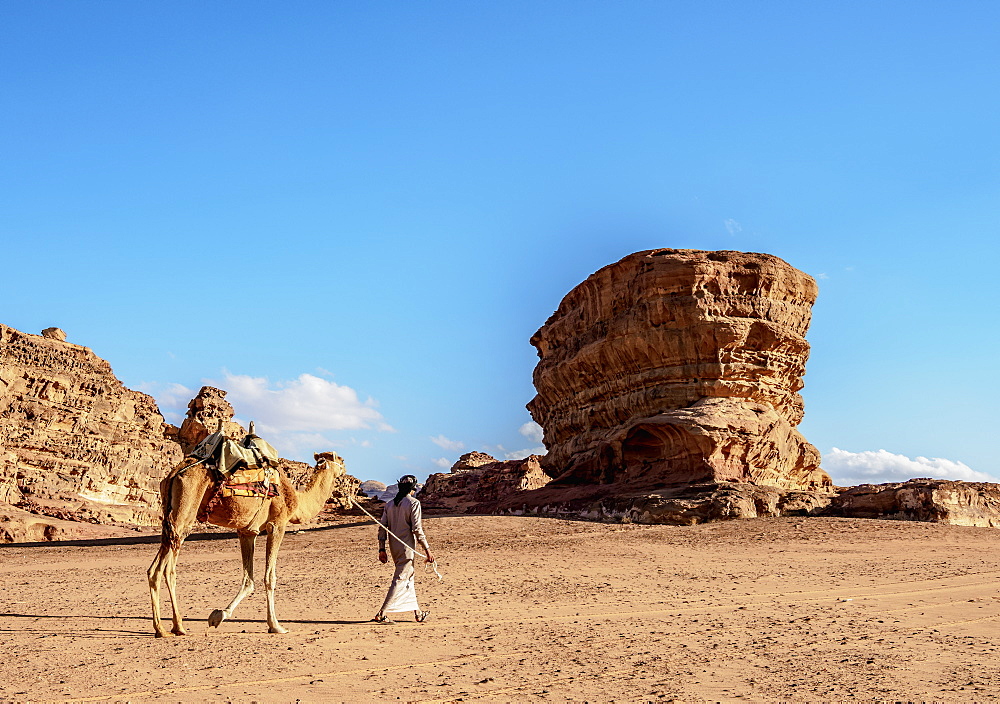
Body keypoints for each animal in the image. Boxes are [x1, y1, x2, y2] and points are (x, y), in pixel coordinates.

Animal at [146, 452, 350, 640]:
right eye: (341, 460)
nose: (345, 470)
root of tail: (175, 473)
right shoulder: (277, 524)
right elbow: (270, 577)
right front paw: (276, 626)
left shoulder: (247, 531)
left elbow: (248, 580)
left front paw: (218, 615)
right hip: (185, 511)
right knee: (166, 569)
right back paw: (171, 628)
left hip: (170, 518)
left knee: (156, 569)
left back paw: (168, 628)